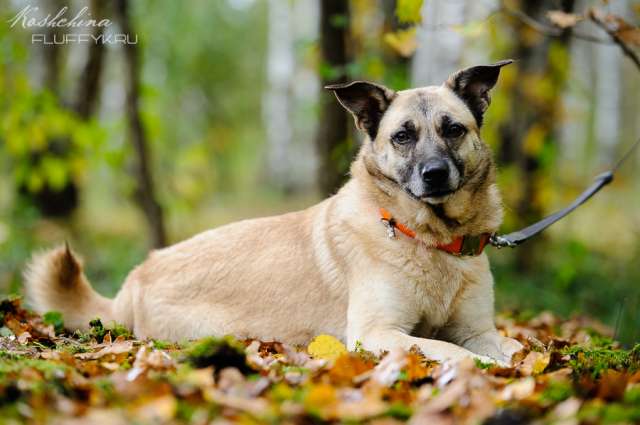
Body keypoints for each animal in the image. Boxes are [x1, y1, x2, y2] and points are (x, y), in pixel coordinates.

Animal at [25, 59, 524, 364]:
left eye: (453, 129)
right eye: (403, 136)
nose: (435, 174)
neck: (430, 237)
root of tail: (136, 277)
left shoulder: (477, 328)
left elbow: (515, 342)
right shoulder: (377, 332)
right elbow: (450, 351)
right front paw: (479, 369)